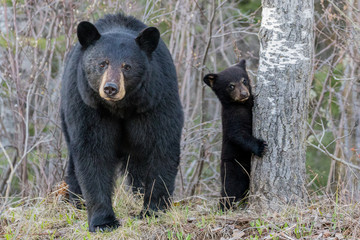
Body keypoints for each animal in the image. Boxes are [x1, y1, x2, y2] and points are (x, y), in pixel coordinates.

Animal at [60, 13, 183, 232]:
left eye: (127, 66)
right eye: (102, 63)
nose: (110, 88)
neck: (121, 107)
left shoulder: (156, 99)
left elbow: (162, 145)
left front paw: (153, 209)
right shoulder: (87, 105)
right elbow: (93, 151)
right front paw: (103, 221)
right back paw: (75, 200)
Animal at [204, 60, 266, 210]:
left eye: (244, 80)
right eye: (231, 86)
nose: (244, 93)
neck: (242, 105)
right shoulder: (232, 118)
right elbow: (238, 135)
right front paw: (261, 146)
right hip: (234, 170)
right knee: (230, 191)